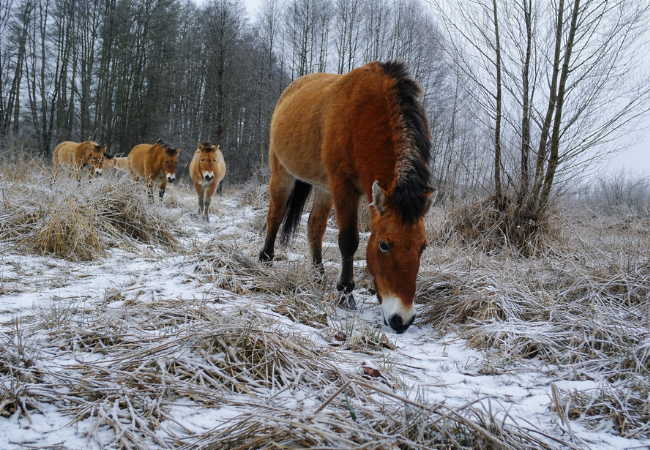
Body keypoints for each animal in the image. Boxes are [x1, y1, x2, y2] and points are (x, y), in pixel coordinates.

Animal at [258, 60, 435, 334]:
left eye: (423, 246)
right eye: (383, 244)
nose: (402, 319)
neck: (363, 115)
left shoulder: (336, 186)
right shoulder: (344, 186)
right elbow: (349, 241)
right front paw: (345, 293)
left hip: (323, 187)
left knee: (315, 226)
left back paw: (318, 275)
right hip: (282, 172)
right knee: (275, 214)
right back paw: (266, 259)